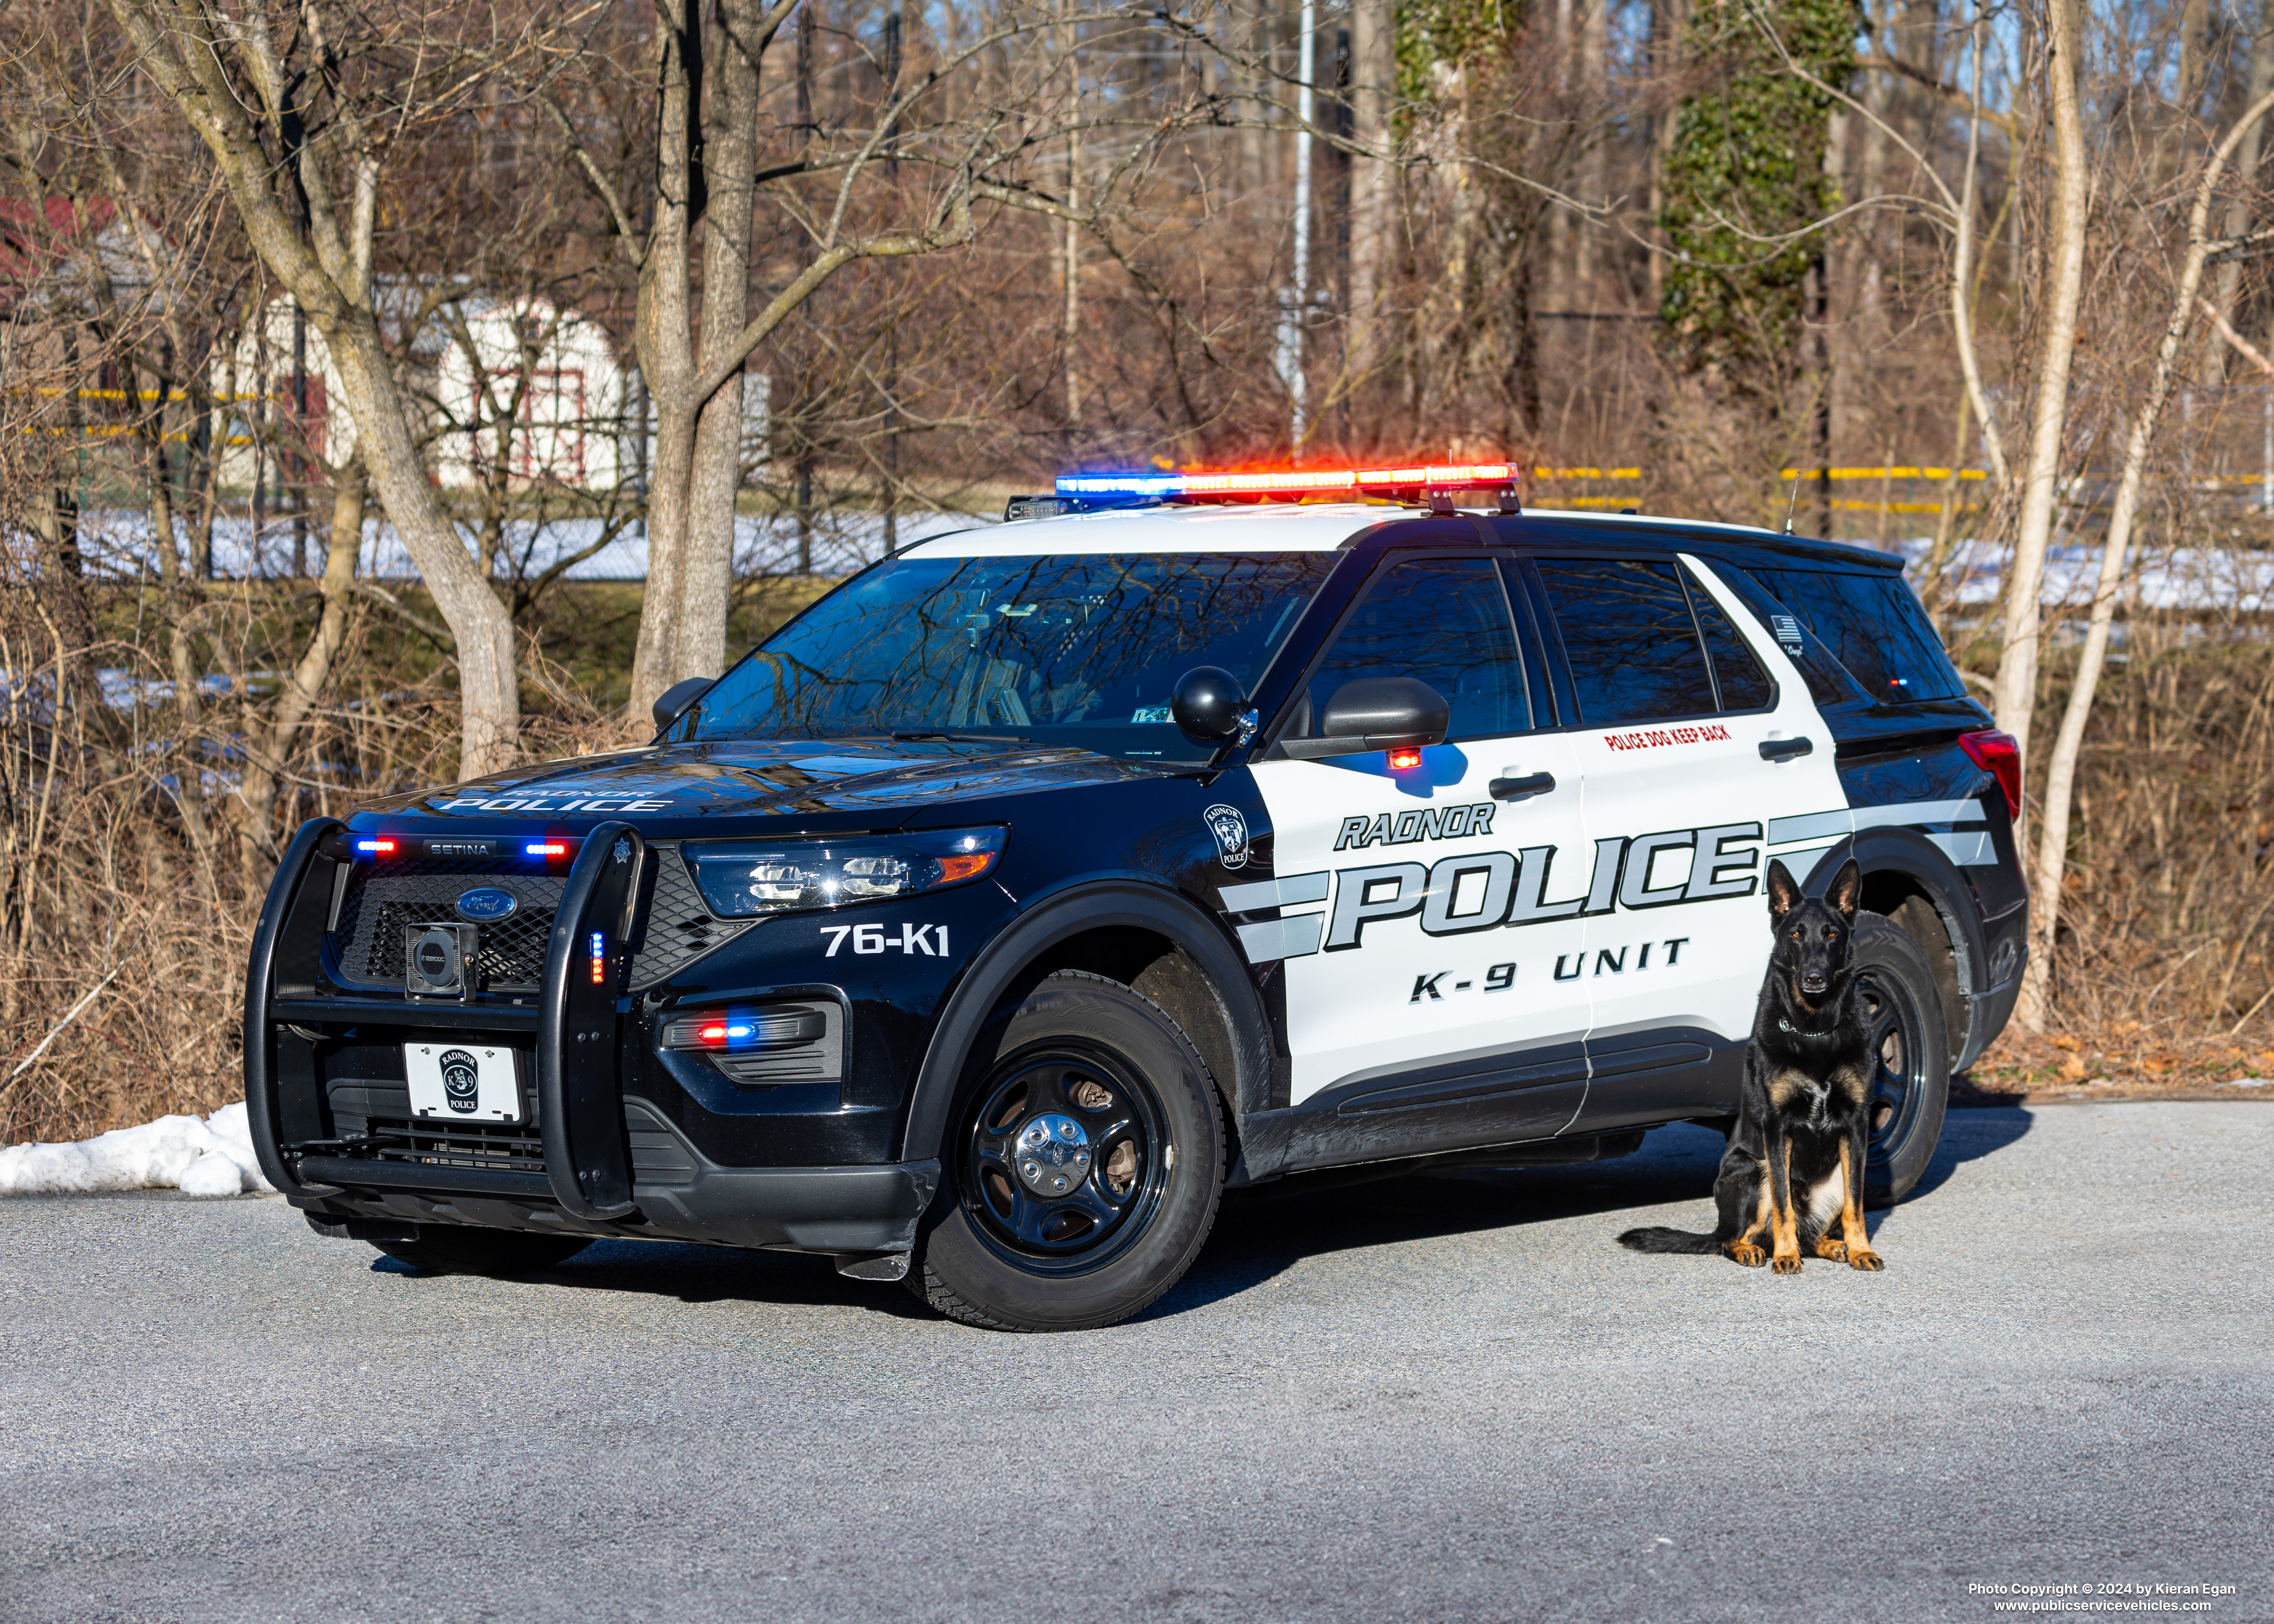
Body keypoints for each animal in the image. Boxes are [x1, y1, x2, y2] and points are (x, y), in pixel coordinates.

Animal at [1619, 855, 1883, 1273]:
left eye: (1830, 934)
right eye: (1795, 935)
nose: (1813, 977)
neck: (1814, 1029)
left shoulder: (1855, 1127)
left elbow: (1855, 1205)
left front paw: (1860, 1249)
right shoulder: (1777, 1130)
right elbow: (1782, 1204)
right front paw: (1786, 1255)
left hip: (1832, 1177)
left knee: (1815, 1232)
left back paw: (1833, 1246)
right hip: (1750, 1170)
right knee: (1735, 1238)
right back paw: (1756, 1249)